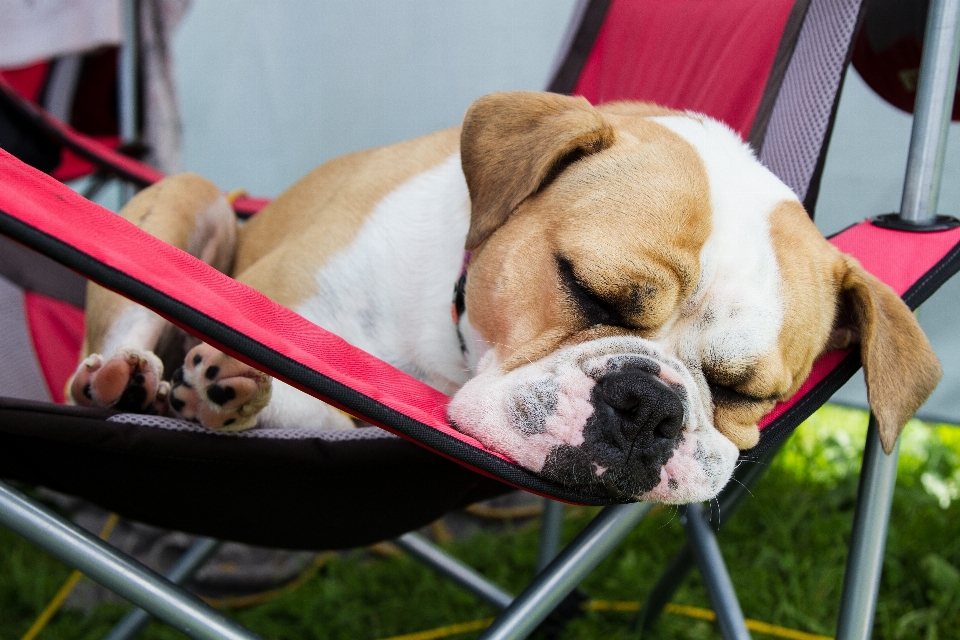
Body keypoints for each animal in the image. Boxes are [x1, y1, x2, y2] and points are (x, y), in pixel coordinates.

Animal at [71, 91, 940, 504]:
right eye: (585, 288)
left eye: (743, 392)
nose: (650, 406)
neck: (458, 348)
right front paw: (225, 385)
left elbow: (319, 409)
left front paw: (235, 392)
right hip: (188, 200)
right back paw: (124, 378)